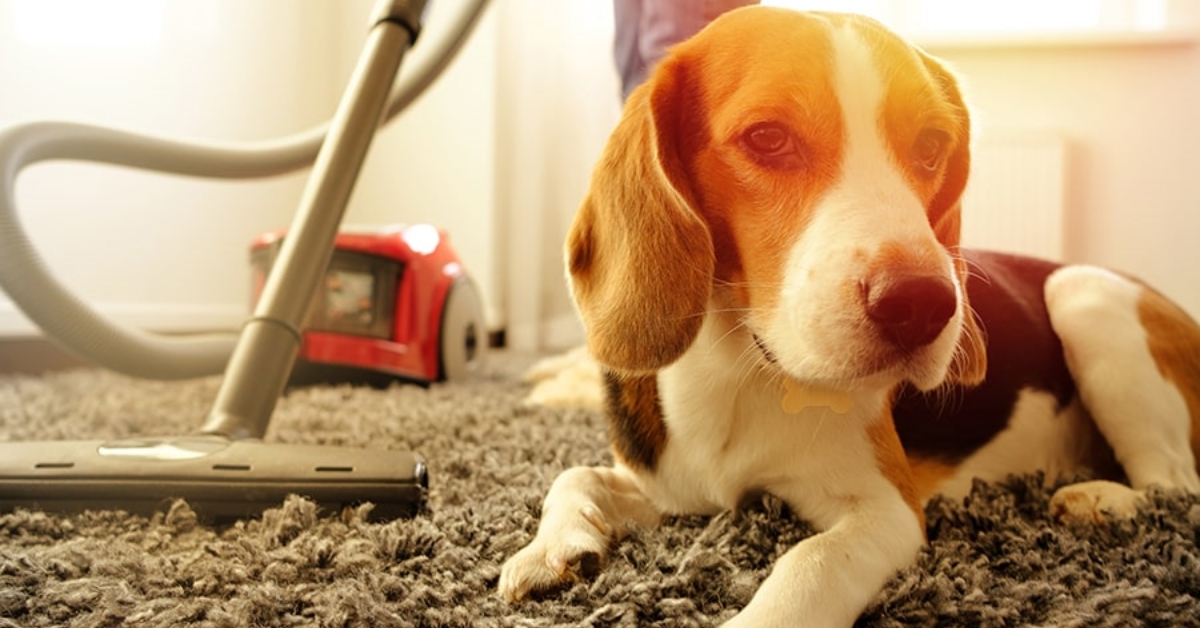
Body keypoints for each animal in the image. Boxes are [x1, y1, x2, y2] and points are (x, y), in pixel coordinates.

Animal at [499, 7, 1200, 627]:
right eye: (768, 138)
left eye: (932, 146)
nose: (925, 303)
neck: (742, 366)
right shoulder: (668, 488)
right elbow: (573, 475)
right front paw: (549, 550)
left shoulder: (888, 511)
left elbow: (811, 566)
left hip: (1086, 296)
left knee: (1176, 484)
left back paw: (1102, 499)